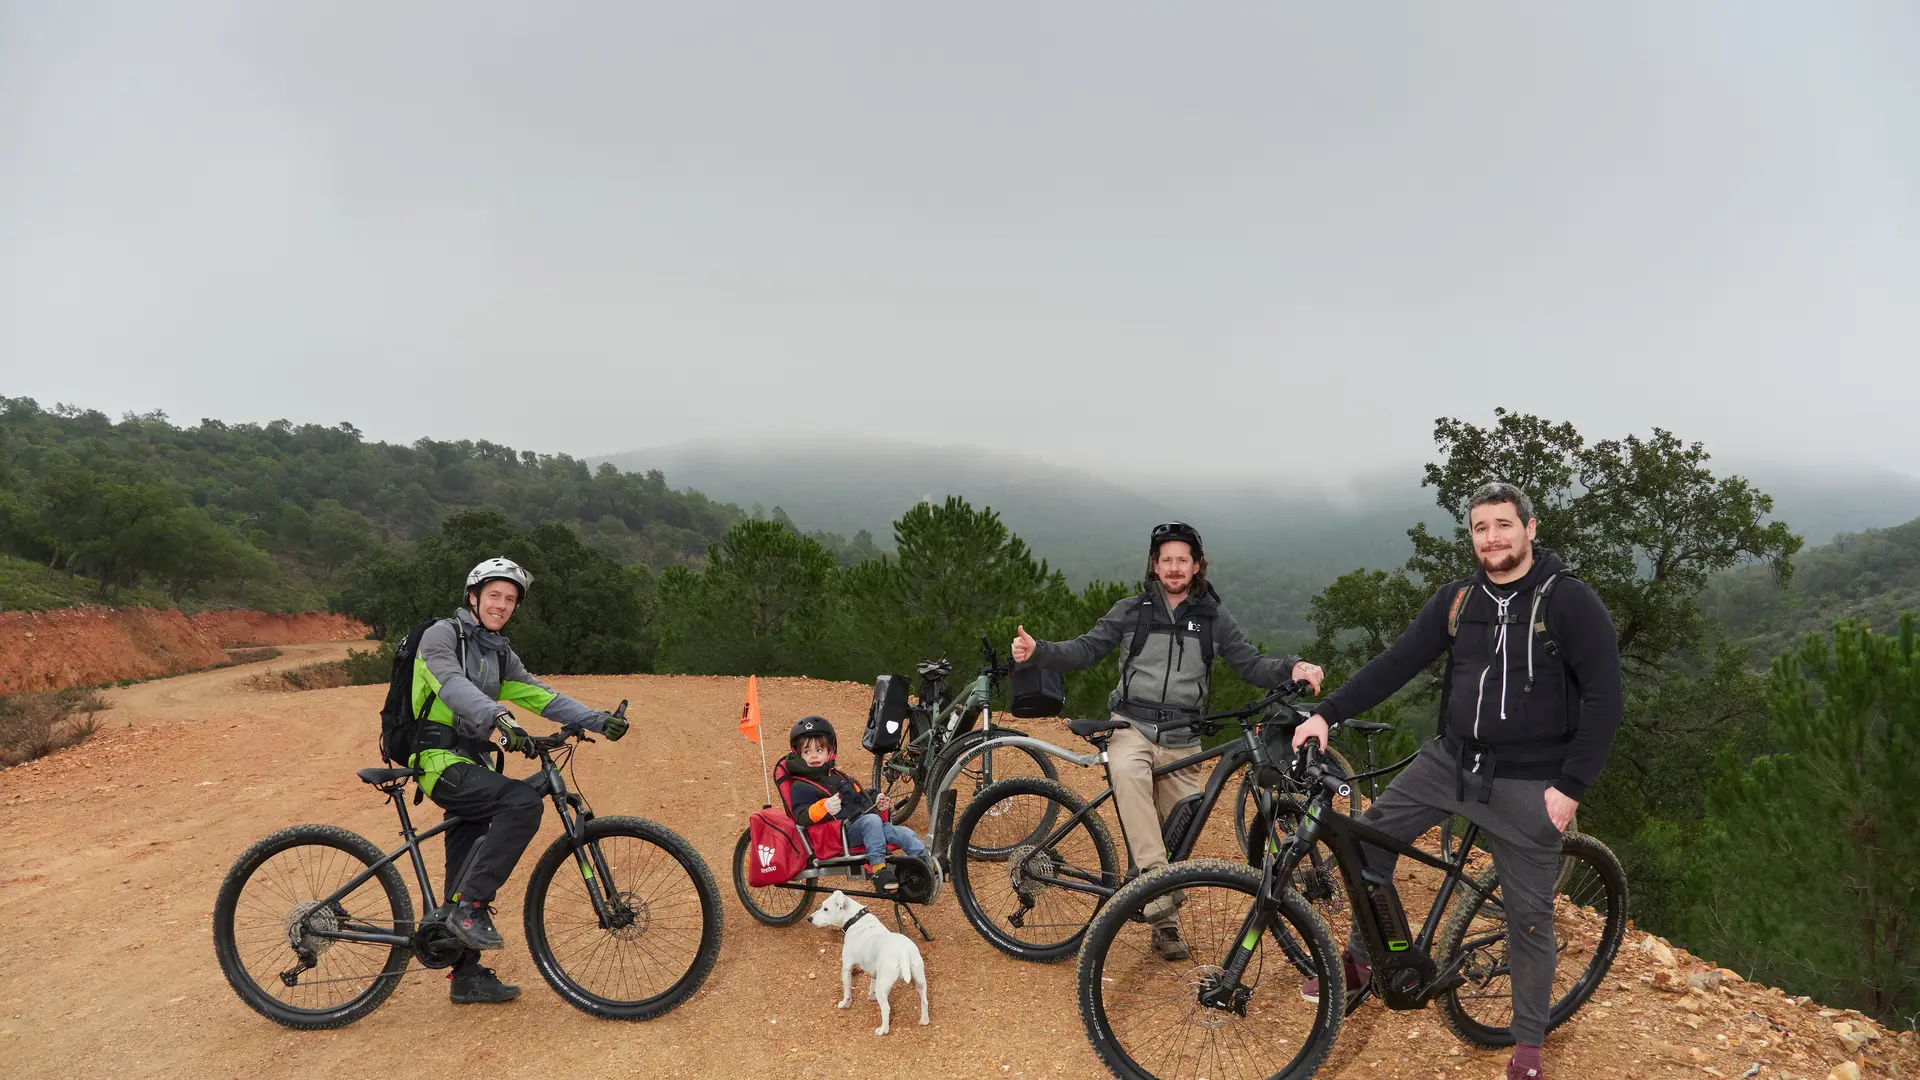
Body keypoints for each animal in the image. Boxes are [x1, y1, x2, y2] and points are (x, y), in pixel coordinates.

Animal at [810, 887, 929, 1030]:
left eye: (826, 909)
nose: (809, 919)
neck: (855, 919)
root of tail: (904, 952)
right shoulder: (874, 972)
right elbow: (871, 985)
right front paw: (871, 996)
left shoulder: (847, 968)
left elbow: (847, 990)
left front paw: (845, 1003)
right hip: (920, 981)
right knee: (925, 1001)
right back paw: (924, 1021)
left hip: (884, 985)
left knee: (886, 1008)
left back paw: (883, 1030)